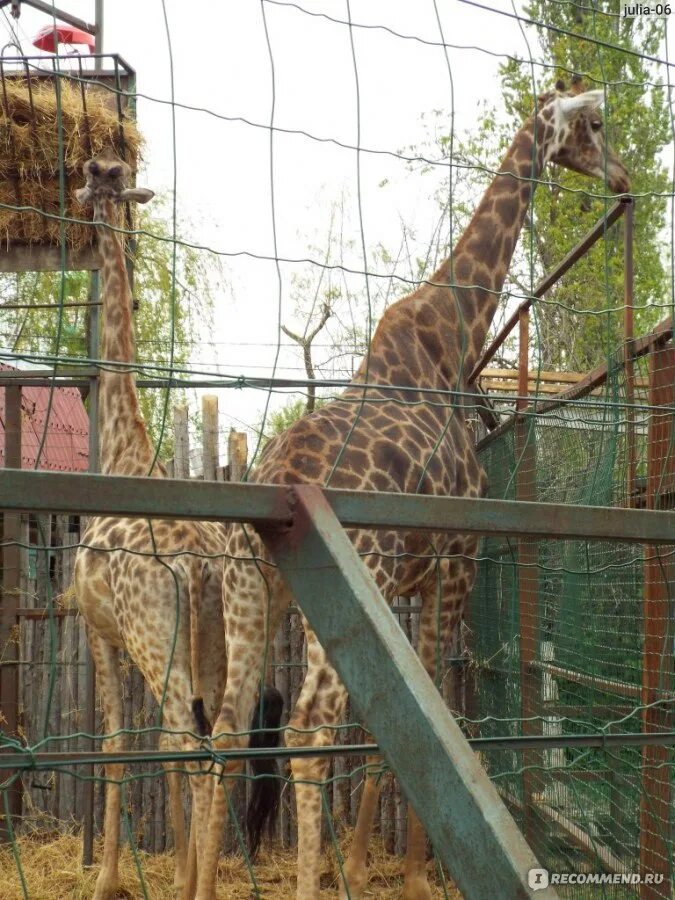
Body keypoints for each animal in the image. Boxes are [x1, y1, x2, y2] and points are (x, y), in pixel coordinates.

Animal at [194, 81, 628, 896]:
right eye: (593, 125)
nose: (622, 176)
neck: (453, 338)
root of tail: (273, 476)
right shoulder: (455, 557)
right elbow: (432, 709)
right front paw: (416, 871)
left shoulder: (411, 580)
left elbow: (391, 725)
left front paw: (368, 863)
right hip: (339, 570)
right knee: (306, 726)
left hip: (253, 589)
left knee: (229, 727)